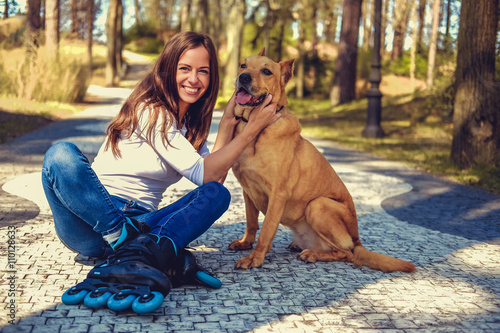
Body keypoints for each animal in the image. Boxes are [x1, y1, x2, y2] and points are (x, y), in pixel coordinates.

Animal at [229, 49, 416, 272]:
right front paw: (245, 243)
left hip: (318, 205)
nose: (243, 77)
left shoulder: (277, 195)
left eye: (266, 71)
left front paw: (255, 257)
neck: (254, 127)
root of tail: (358, 241)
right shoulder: (247, 191)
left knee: (346, 254)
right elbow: (251, 223)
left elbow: (266, 231)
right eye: (243, 65)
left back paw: (313, 254)